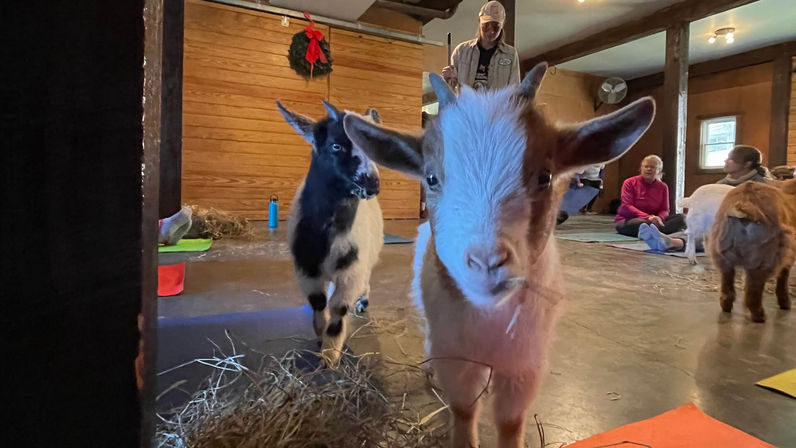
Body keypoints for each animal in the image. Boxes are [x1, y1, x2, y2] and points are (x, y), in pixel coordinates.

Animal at [278, 100, 384, 364]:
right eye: (336, 145)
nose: (371, 184)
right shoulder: (306, 268)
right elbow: (318, 302)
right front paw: (320, 334)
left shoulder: (352, 270)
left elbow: (339, 308)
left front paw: (330, 353)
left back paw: (363, 300)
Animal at [346, 64, 656, 448]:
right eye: (431, 178)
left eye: (545, 176)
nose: (487, 263)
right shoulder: (458, 358)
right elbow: (463, 411)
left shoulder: (524, 364)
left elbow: (510, 422)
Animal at [708, 178, 796, 322]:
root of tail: (744, 203)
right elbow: (783, 276)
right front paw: (785, 303)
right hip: (764, 257)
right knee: (754, 288)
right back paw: (759, 315)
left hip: (722, 255)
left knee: (728, 282)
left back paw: (727, 306)